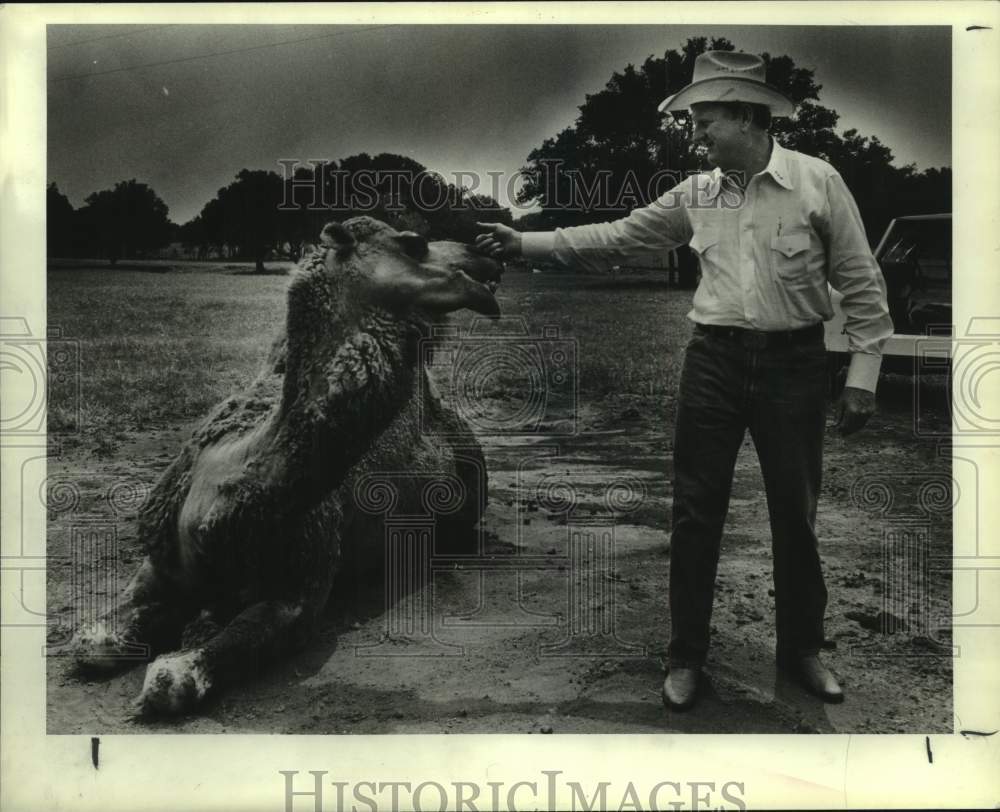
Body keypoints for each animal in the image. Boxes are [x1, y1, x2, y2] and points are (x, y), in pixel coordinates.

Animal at [71, 217, 504, 716]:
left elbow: (170, 679)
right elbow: (88, 643)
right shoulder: (159, 562)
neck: (220, 495)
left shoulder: (298, 592)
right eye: (413, 243)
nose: (487, 259)